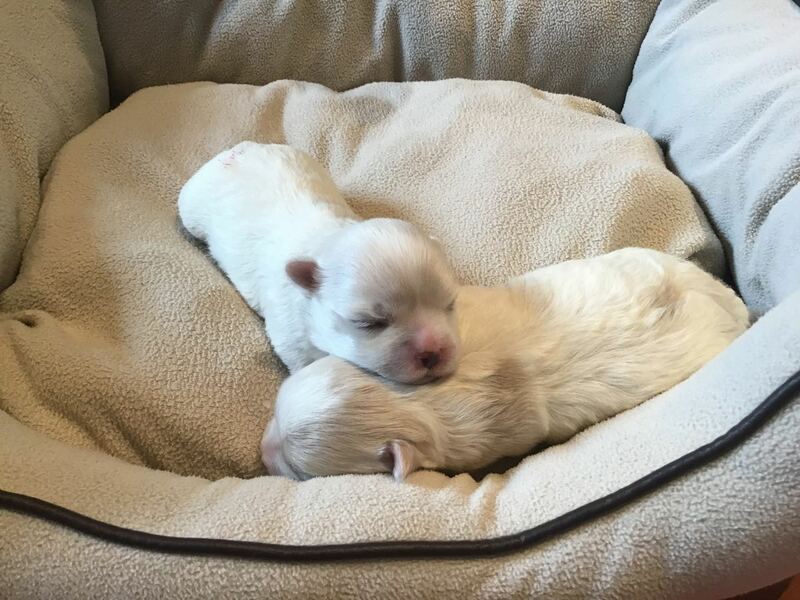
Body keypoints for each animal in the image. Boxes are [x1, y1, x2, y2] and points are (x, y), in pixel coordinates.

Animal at [178, 142, 460, 383]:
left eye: (449, 304)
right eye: (368, 323)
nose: (432, 353)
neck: (327, 240)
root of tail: (239, 150)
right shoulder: (291, 335)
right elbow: (303, 362)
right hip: (191, 206)